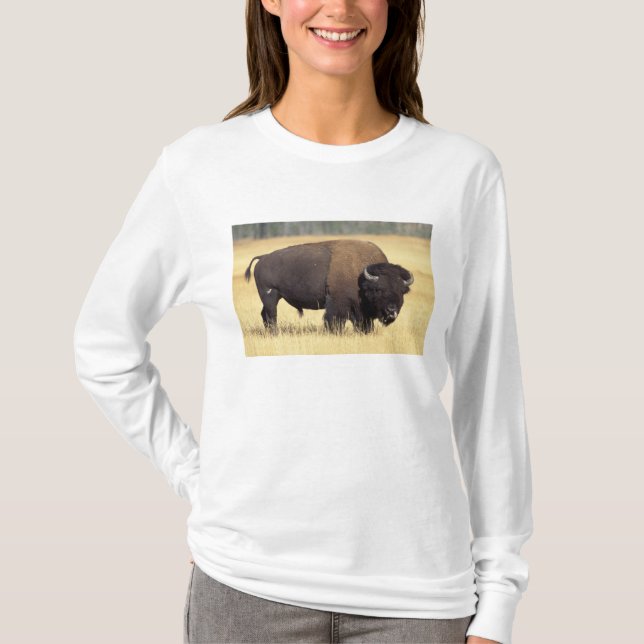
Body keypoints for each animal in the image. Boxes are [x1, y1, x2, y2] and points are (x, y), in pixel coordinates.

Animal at [243, 239, 414, 334]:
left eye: (402, 291)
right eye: (378, 289)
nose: (391, 310)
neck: (361, 276)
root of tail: (263, 258)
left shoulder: (359, 312)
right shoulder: (338, 305)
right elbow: (334, 321)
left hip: (272, 297)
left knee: (265, 315)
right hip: (270, 296)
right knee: (271, 315)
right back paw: (275, 333)